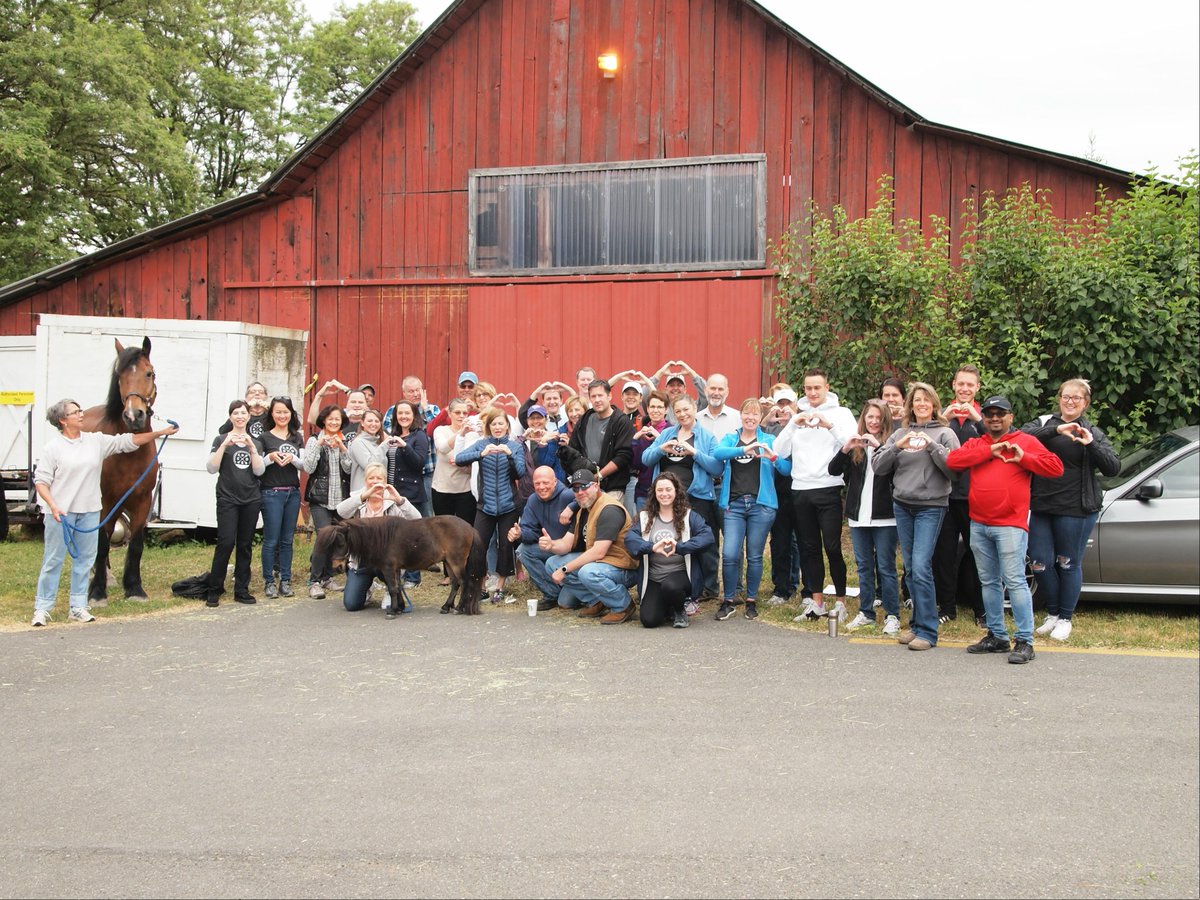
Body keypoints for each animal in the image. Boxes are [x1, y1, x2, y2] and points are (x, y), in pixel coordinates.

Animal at [82, 338, 160, 607]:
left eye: (149, 373)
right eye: (120, 376)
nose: (133, 415)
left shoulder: (142, 501)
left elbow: (135, 544)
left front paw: (134, 588)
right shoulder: (106, 501)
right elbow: (102, 543)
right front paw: (97, 592)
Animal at [319, 518, 492, 619]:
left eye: (341, 543)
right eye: (331, 545)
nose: (337, 567)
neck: (383, 537)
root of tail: (469, 527)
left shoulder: (388, 568)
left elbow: (392, 588)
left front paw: (392, 611)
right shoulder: (395, 568)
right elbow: (397, 587)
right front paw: (400, 608)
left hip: (456, 562)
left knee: (464, 583)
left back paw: (460, 608)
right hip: (448, 562)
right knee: (455, 584)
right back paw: (446, 606)